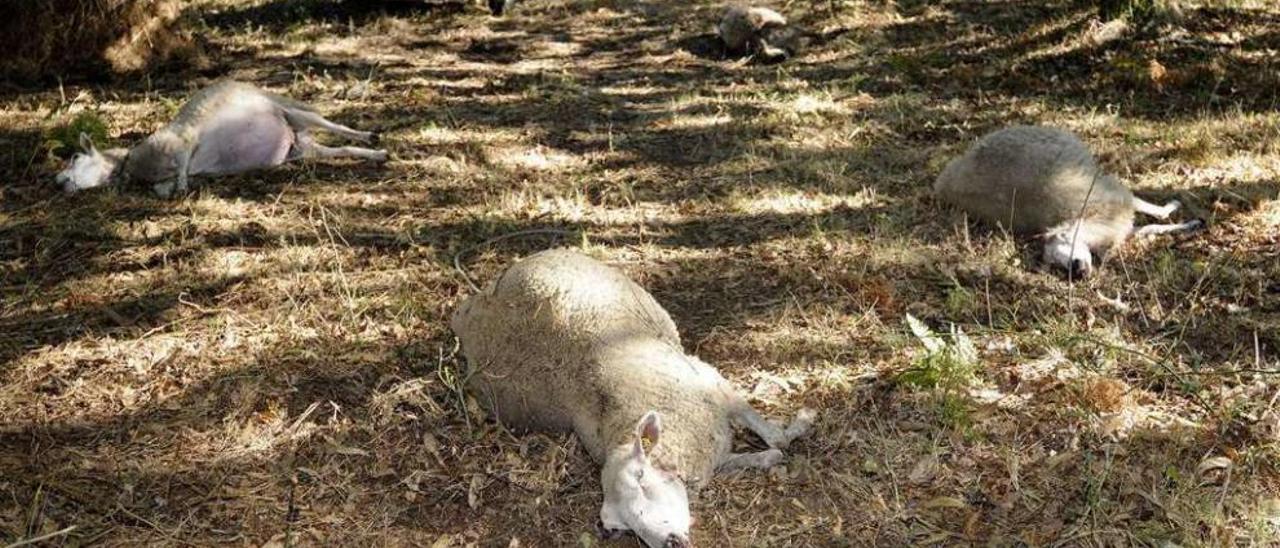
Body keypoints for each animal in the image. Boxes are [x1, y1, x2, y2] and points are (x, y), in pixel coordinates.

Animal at [55, 80, 384, 198]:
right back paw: (378, 155)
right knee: (341, 149)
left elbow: (183, 166)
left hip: (291, 111)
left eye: (75, 156)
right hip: (303, 149)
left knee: (336, 126)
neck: (131, 162)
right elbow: (164, 186)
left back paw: (371, 135)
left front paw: (183, 187)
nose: (57, 182)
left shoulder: (182, 139)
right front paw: (175, 188)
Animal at [450, 249, 808, 548]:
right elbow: (758, 455)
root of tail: (471, 305)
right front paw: (769, 456)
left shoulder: (712, 383)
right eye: (620, 526)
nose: (670, 542)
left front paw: (801, 422)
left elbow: (773, 434)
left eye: (641, 478)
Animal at [936, 124, 1203, 277]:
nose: (1077, 271)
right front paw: (1188, 223)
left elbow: (1157, 216)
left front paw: (1179, 210)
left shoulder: (1117, 198)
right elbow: (1153, 225)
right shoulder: (1120, 218)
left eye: (1062, 240)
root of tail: (945, 180)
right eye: (1053, 265)